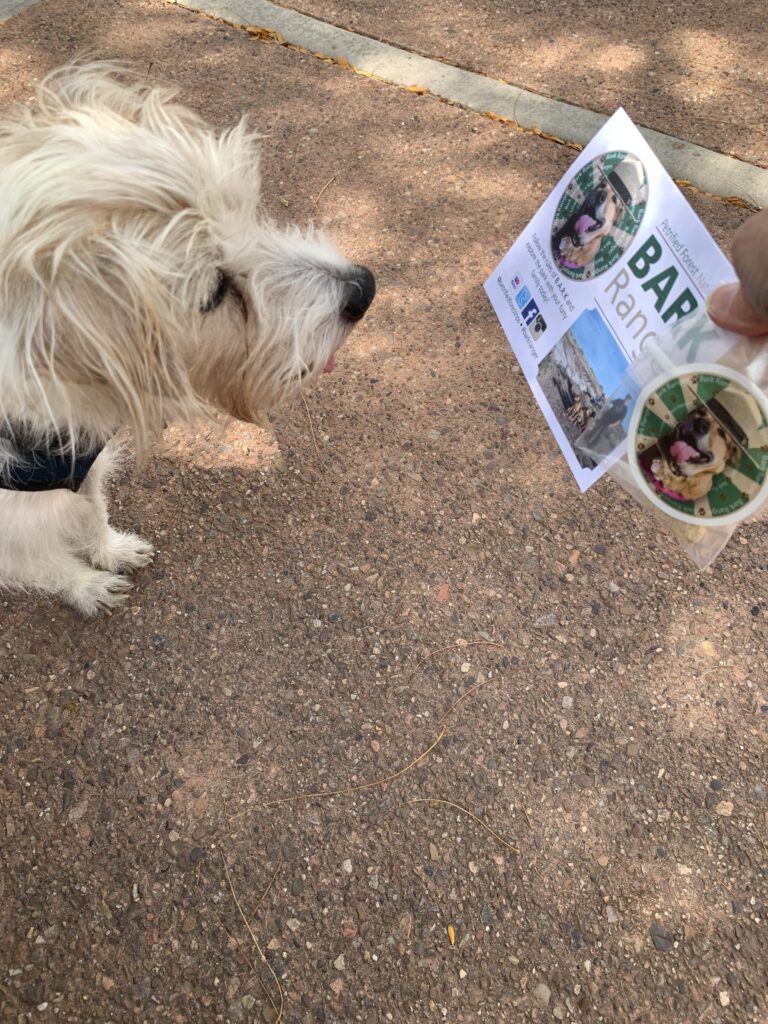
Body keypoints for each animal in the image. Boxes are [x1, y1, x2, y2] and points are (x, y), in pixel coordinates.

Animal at [0, 61, 376, 614]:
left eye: (248, 211)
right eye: (216, 291)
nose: (364, 290)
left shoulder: (84, 467)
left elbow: (92, 509)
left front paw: (110, 550)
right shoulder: (13, 534)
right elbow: (48, 565)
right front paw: (87, 585)